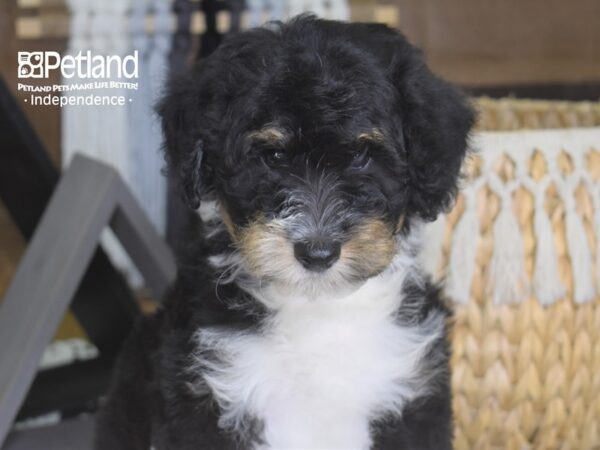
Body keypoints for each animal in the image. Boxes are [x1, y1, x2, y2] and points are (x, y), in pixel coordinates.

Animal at [96, 14, 476, 450]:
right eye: (273, 157)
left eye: (362, 156)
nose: (318, 252)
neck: (317, 311)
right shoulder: (206, 400)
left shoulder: (412, 397)